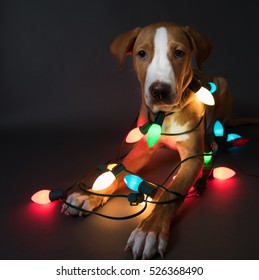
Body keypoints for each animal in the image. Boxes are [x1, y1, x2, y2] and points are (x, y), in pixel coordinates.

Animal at [61, 20, 234, 260]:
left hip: (223, 84)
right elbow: (117, 171)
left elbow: (172, 192)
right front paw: (89, 196)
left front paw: (149, 230)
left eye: (179, 53)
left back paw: (213, 140)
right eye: (142, 54)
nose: (159, 90)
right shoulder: (143, 147)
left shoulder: (192, 159)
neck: (164, 115)